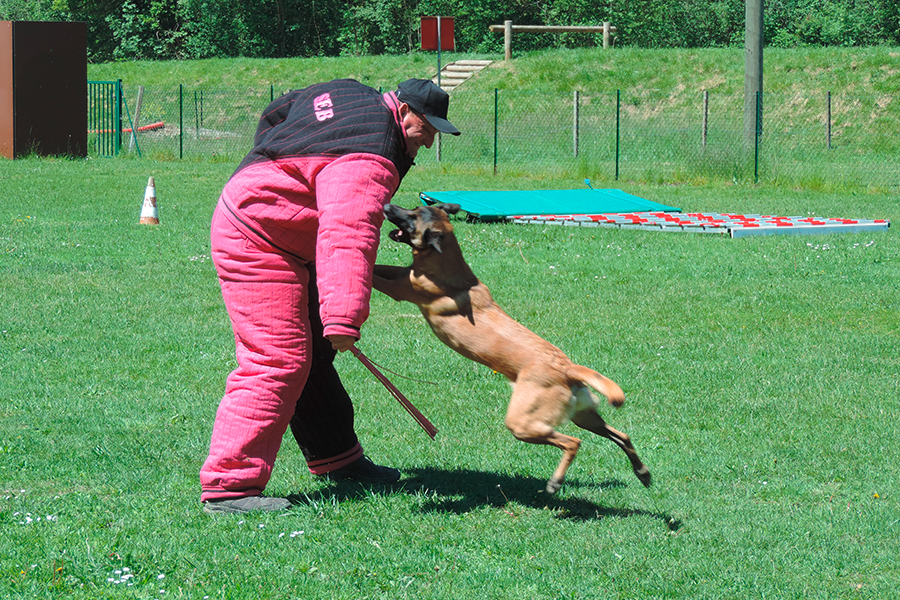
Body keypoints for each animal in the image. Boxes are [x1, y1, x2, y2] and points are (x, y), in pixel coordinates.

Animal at [372, 204, 652, 494]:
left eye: (413, 217)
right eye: (414, 209)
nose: (388, 206)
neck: (446, 263)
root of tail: (567, 368)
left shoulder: (401, 287)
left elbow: (374, 276)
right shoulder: (401, 274)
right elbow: (380, 267)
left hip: (524, 423)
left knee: (573, 442)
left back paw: (555, 482)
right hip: (583, 416)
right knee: (622, 435)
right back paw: (642, 472)